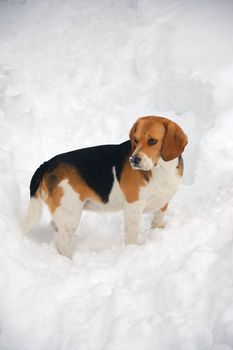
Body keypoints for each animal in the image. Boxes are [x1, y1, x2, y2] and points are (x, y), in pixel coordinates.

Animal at [22, 116, 187, 256]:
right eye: (135, 140)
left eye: (153, 141)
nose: (133, 160)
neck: (161, 168)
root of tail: (47, 164)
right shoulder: (133, 208)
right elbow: (132, 235)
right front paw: (133, 251)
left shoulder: (163, 203)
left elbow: (157, 221)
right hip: (71, 212)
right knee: (62, 243)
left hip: (65, 213)